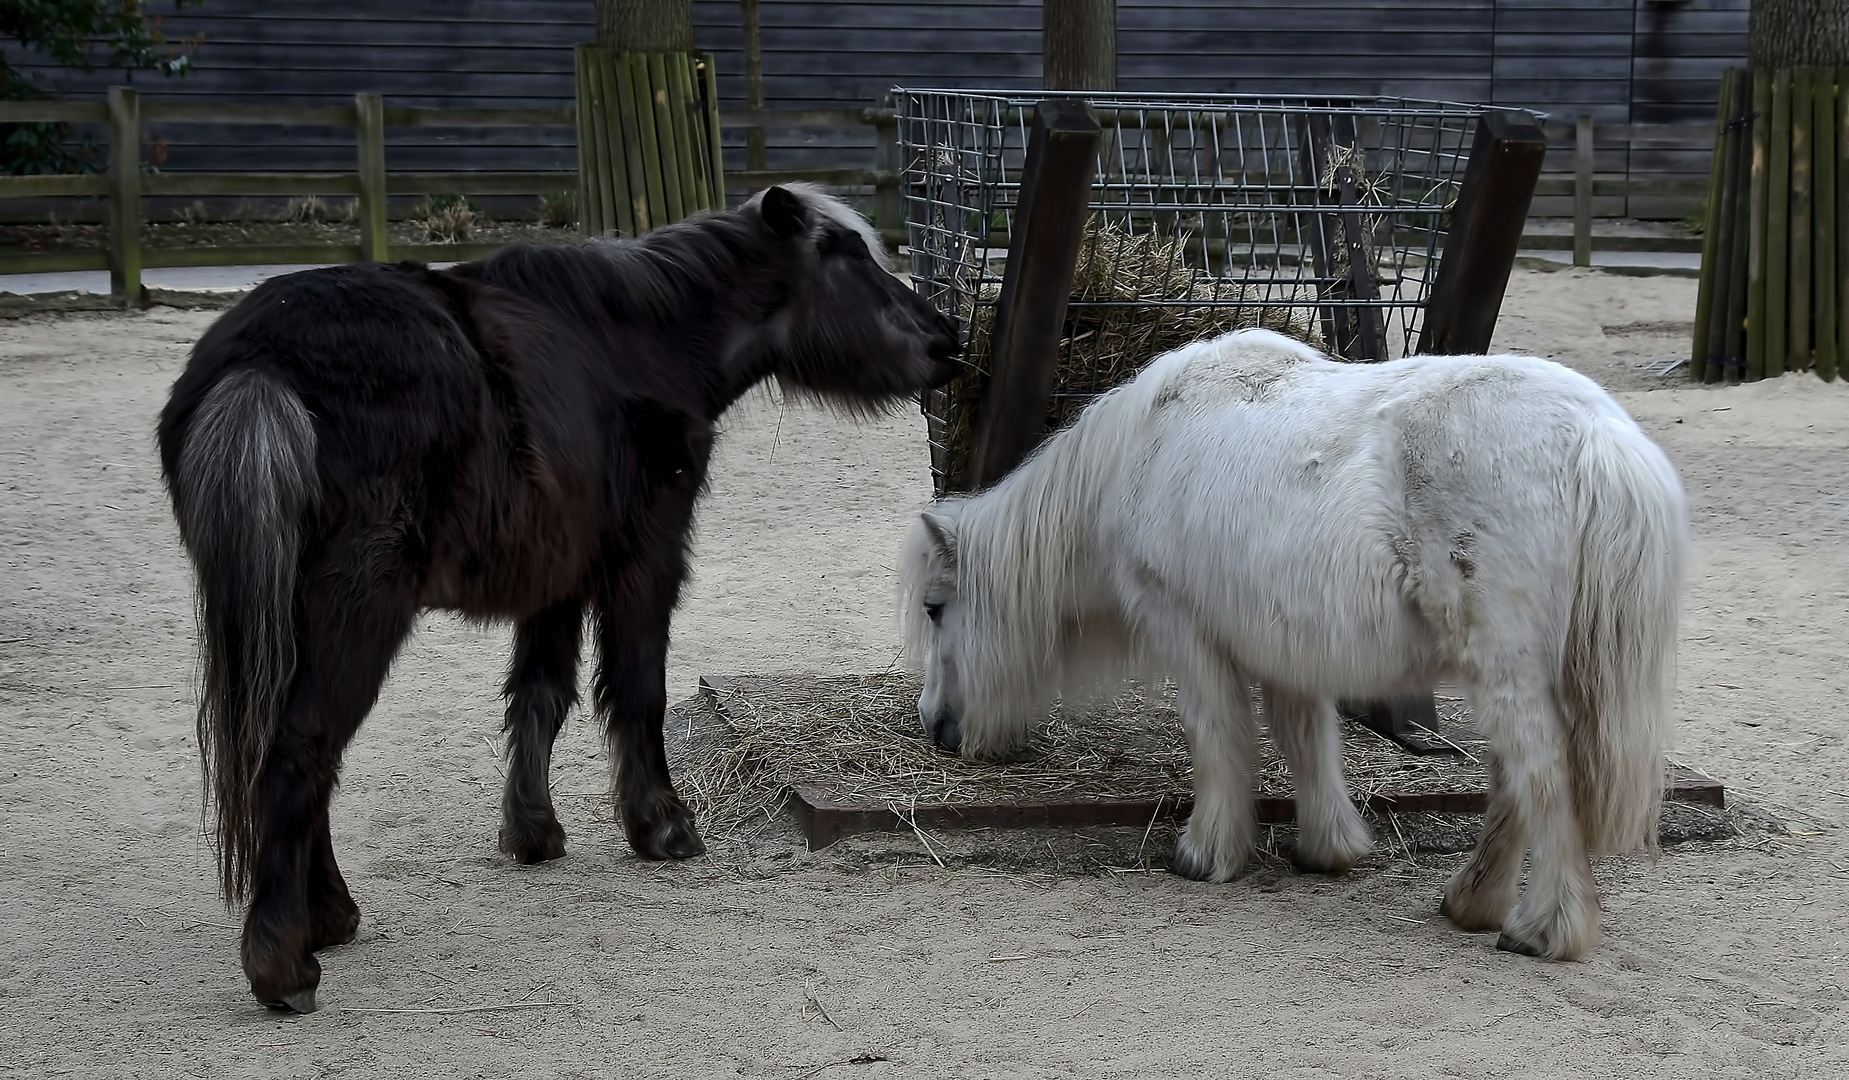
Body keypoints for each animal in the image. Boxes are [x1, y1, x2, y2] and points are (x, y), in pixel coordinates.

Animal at [159, 185, 961, 1013]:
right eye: (846, 254)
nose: (947, 337)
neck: (635, 337)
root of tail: (261, 363)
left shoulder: (556, 576)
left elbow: (540, 695)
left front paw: (533, 832)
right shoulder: (645, 558)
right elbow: (635, 691)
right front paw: (660, 825)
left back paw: (329, 916)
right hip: (358, 604)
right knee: (302, 748)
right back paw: (285, 961)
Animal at [906, 329, 1693, 961]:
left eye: (935, 608)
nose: (935, 726)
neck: (1139, 448)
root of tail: (1596, 436)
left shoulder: (1185, 627)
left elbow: (1219, 737)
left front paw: (1206, 853)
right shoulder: (1285, 644)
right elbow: (1304, 739)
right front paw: (1326, 848)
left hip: (1506, 668)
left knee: (1540, 780)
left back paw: (1543, 930)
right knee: (1511, 783)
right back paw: (1472, 902)